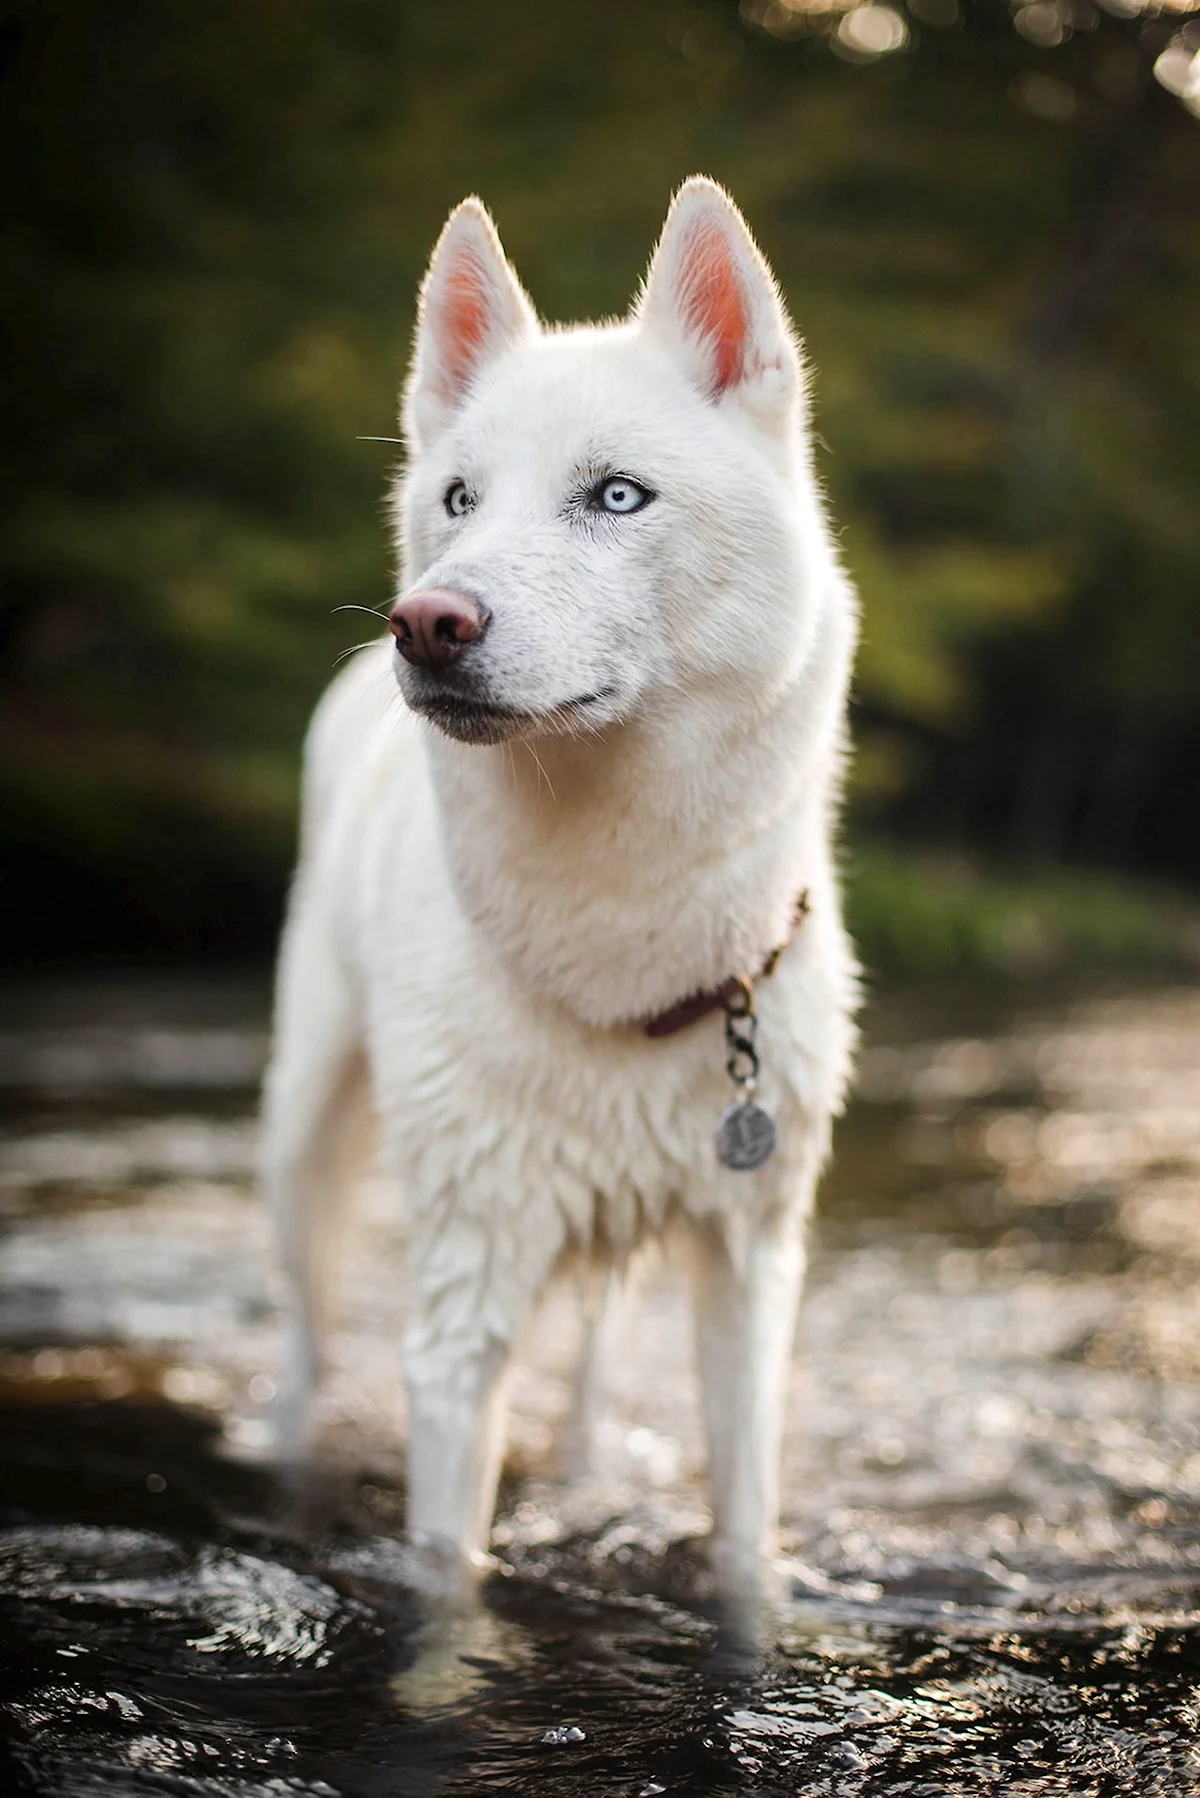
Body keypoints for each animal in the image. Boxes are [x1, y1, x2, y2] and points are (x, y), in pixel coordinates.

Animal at [266, 175, 859, 1596]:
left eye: (618, 496)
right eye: (462, 498)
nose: (425, 624)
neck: (623, 957)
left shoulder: (749, 1273)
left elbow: (745, 1532)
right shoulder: (462, 1299)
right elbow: (447, 1564)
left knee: (590, 1380)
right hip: (301, 1128)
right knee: (306, 1340)